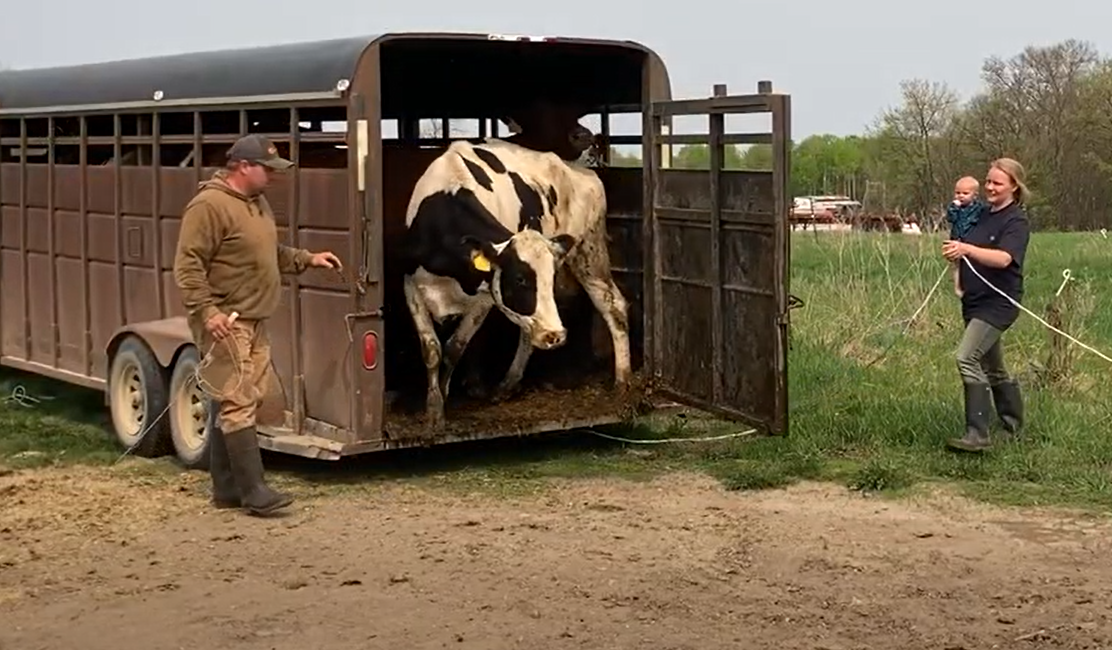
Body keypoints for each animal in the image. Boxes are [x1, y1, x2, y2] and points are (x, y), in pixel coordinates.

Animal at [398, 136, 631, 431]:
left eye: (549, 279)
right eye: (519, 279)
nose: (556, 335)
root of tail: (584, 172)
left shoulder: (485, 297)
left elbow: (454, 347)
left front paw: (444, 396)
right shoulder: (410, 285)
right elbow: (431, 350)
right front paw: (434, 409)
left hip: (589, 252)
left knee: (612, 305)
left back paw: (623, 381)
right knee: (530, 331)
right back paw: (508, 384)